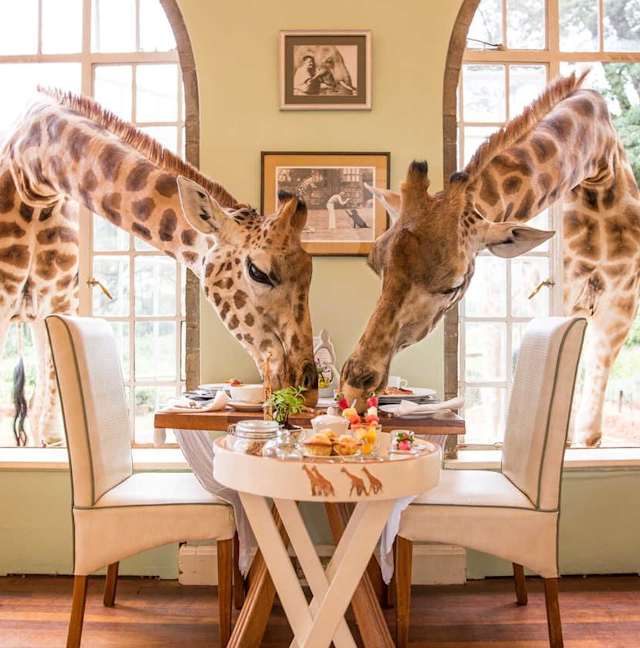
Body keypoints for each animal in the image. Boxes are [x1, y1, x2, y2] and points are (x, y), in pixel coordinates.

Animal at [341, 70, 640, 447]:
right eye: (374, 263)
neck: (598, 164)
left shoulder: (618, 308)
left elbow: (590, 427)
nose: (354, 385)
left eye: (453, 284)